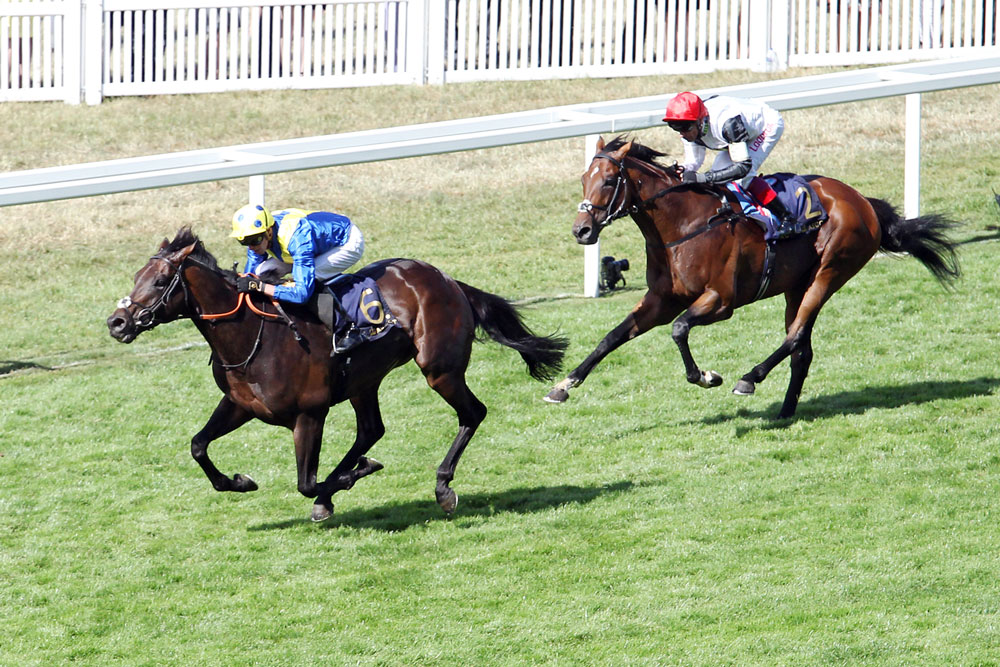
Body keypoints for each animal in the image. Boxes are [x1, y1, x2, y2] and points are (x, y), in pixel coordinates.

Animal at [107, 228, 572, 520]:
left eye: (161, 281)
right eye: (136, 276)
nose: (117, 322)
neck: (251, 334)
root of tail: (447, 279)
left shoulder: (309, 414)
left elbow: (307, 482)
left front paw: (343, 483)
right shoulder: (240, 405)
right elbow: (198, 446)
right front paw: (239, 481)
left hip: (439, 370)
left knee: (471, 413)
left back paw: (442, 488)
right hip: (365, 380)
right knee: (371, 429)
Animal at [548, 136, 960, 418]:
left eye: (607, 181)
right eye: (583, 178)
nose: (581, 230)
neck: (683, 225)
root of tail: (863, 201)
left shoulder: (720, 301)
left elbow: (679, 330)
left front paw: (707, 376)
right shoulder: (661, 300)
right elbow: (612, 337)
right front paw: (564, 384)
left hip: (830, 271)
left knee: (795, 336)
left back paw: (750, 378)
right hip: (796, 286)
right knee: (802, 347)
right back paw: (785, 411)